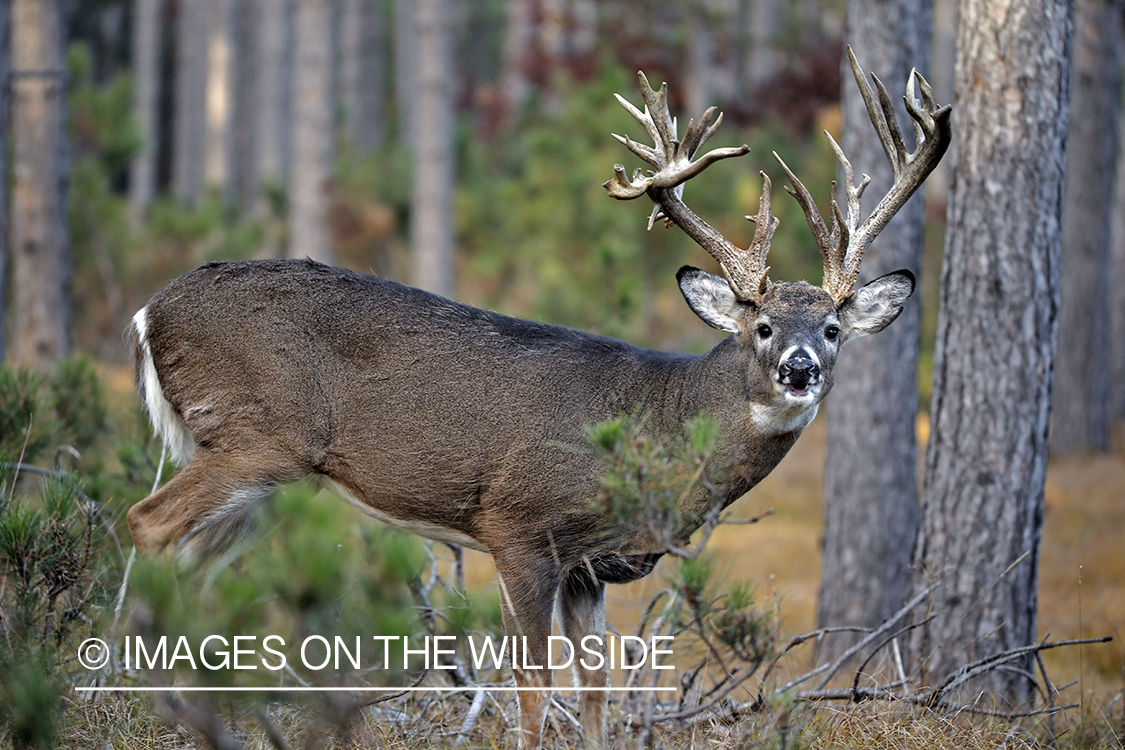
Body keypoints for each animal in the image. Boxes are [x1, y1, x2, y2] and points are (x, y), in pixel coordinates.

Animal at [127, 49, 954, 746]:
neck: (656, 423)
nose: (799, 368)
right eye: (761, 326)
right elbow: (530, 684)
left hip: (271, 478)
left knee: (195, 560)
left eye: (833, 328)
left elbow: (594, 688)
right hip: (258, 433)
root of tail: (149, 311)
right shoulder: (518, 526)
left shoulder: (589, 567)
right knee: (149, 523)